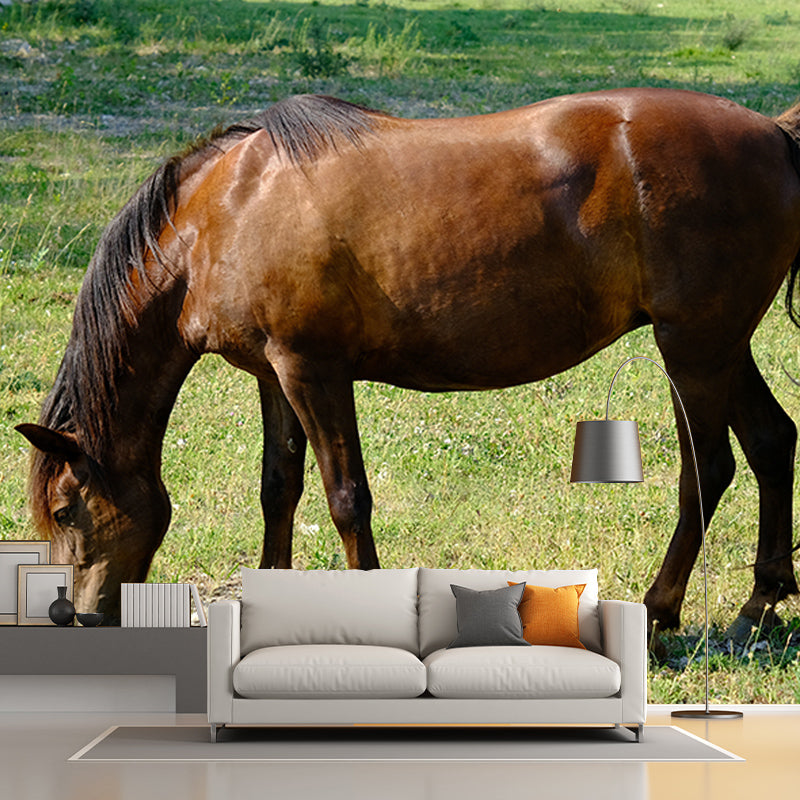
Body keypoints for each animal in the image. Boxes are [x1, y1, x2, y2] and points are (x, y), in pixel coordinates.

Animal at [16, 88, 800, 634]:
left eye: (64, 509)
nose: (78, 614)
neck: (225, 212)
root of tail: (773, 134)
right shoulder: (274, 375)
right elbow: (278, 488)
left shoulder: (313, 370)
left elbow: (345, 498)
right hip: (717, 346)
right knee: (770, 441)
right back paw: (757, 606)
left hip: (693, 347)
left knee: (709, 471)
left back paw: (662, 610)